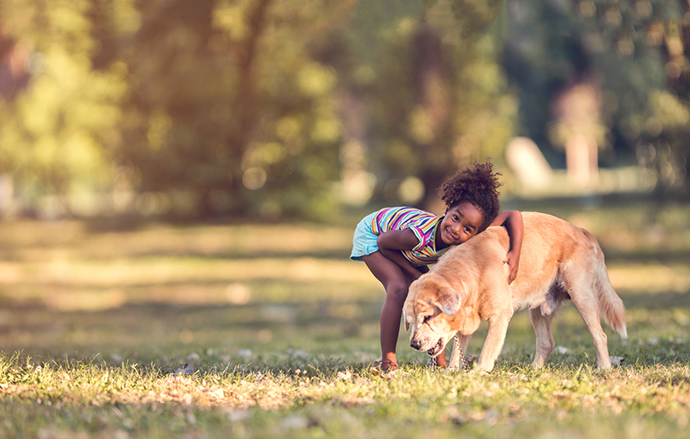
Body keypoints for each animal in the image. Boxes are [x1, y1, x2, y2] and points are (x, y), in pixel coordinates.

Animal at [400, 211, 628, 372]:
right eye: (410, 322)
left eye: (427, 318)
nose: (413, 344)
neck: (472, 267)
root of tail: (582, 230)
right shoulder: (465, 321)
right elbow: (458, 350)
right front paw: (451, 372)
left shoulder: (500, 316)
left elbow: (488, 349)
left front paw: (478, 372)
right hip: (538, 310)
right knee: (547, 343)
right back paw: (534, 370)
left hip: (582, 295)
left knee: (600, 336)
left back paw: (604, 368)